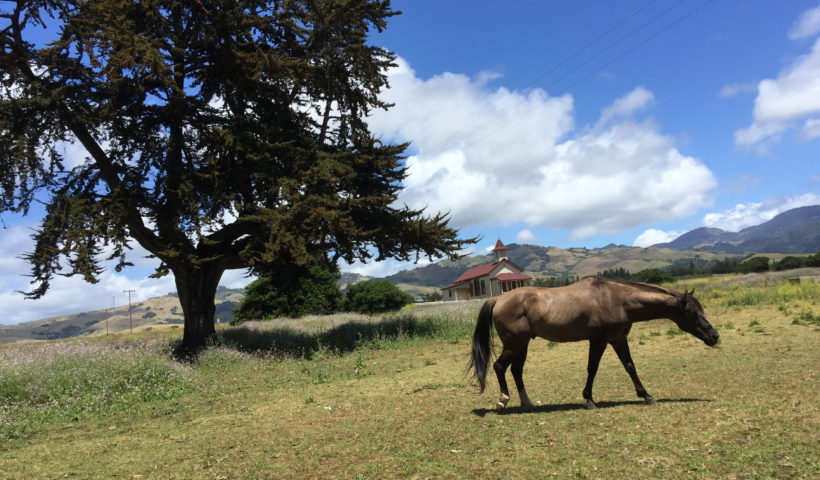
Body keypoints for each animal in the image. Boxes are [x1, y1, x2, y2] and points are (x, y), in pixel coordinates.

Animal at [468, 276, 716, 410]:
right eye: (693, 314)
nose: (715, 336)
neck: (617, 300)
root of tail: (498, 298)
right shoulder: (599, 341)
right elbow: (592, 368)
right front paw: (588, 399)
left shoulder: (618, 339)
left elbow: (630, 367)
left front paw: (646, 396)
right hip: (515, 345)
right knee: (500, 367)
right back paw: (503, 400)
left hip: (523, 346)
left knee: (516, 371)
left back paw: (527, 404)